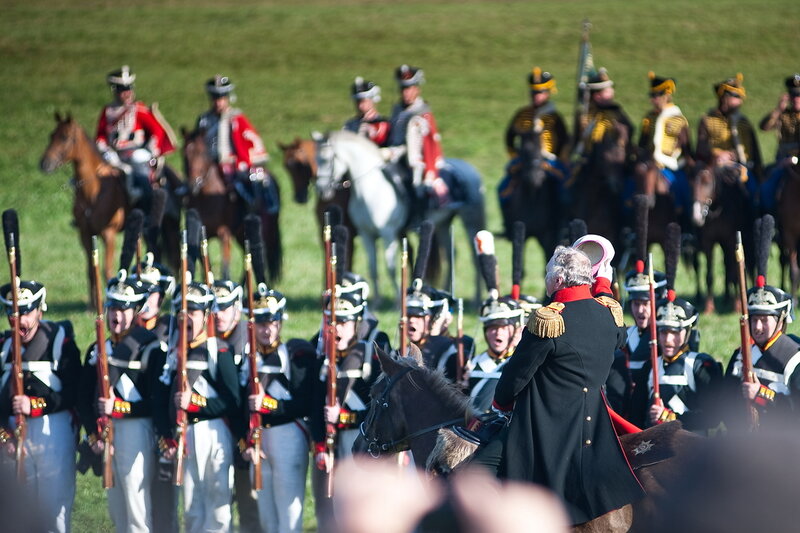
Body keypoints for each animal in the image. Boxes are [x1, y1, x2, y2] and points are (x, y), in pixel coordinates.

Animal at [39, 115, 126, 308]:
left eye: (64, 137)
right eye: (51, 135)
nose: (44, 164)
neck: (94, 190)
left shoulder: (109, 234)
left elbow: (107, 270)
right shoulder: (85, 234)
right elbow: (90, 271)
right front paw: (92, 306)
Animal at [314, 130, 488, 304]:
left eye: (327, 159)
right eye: (317, 159)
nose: (321, 189)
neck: (370, 190)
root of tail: (469, 168)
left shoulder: (388, 234)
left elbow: (390, 267)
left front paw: (398, 300)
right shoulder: (366, 235)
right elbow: (373, 268)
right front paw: (376, 302)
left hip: (471, 221)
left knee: (474, 257)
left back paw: (476, 297)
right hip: (443, 224)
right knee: (452, 254)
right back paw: (445, 292)